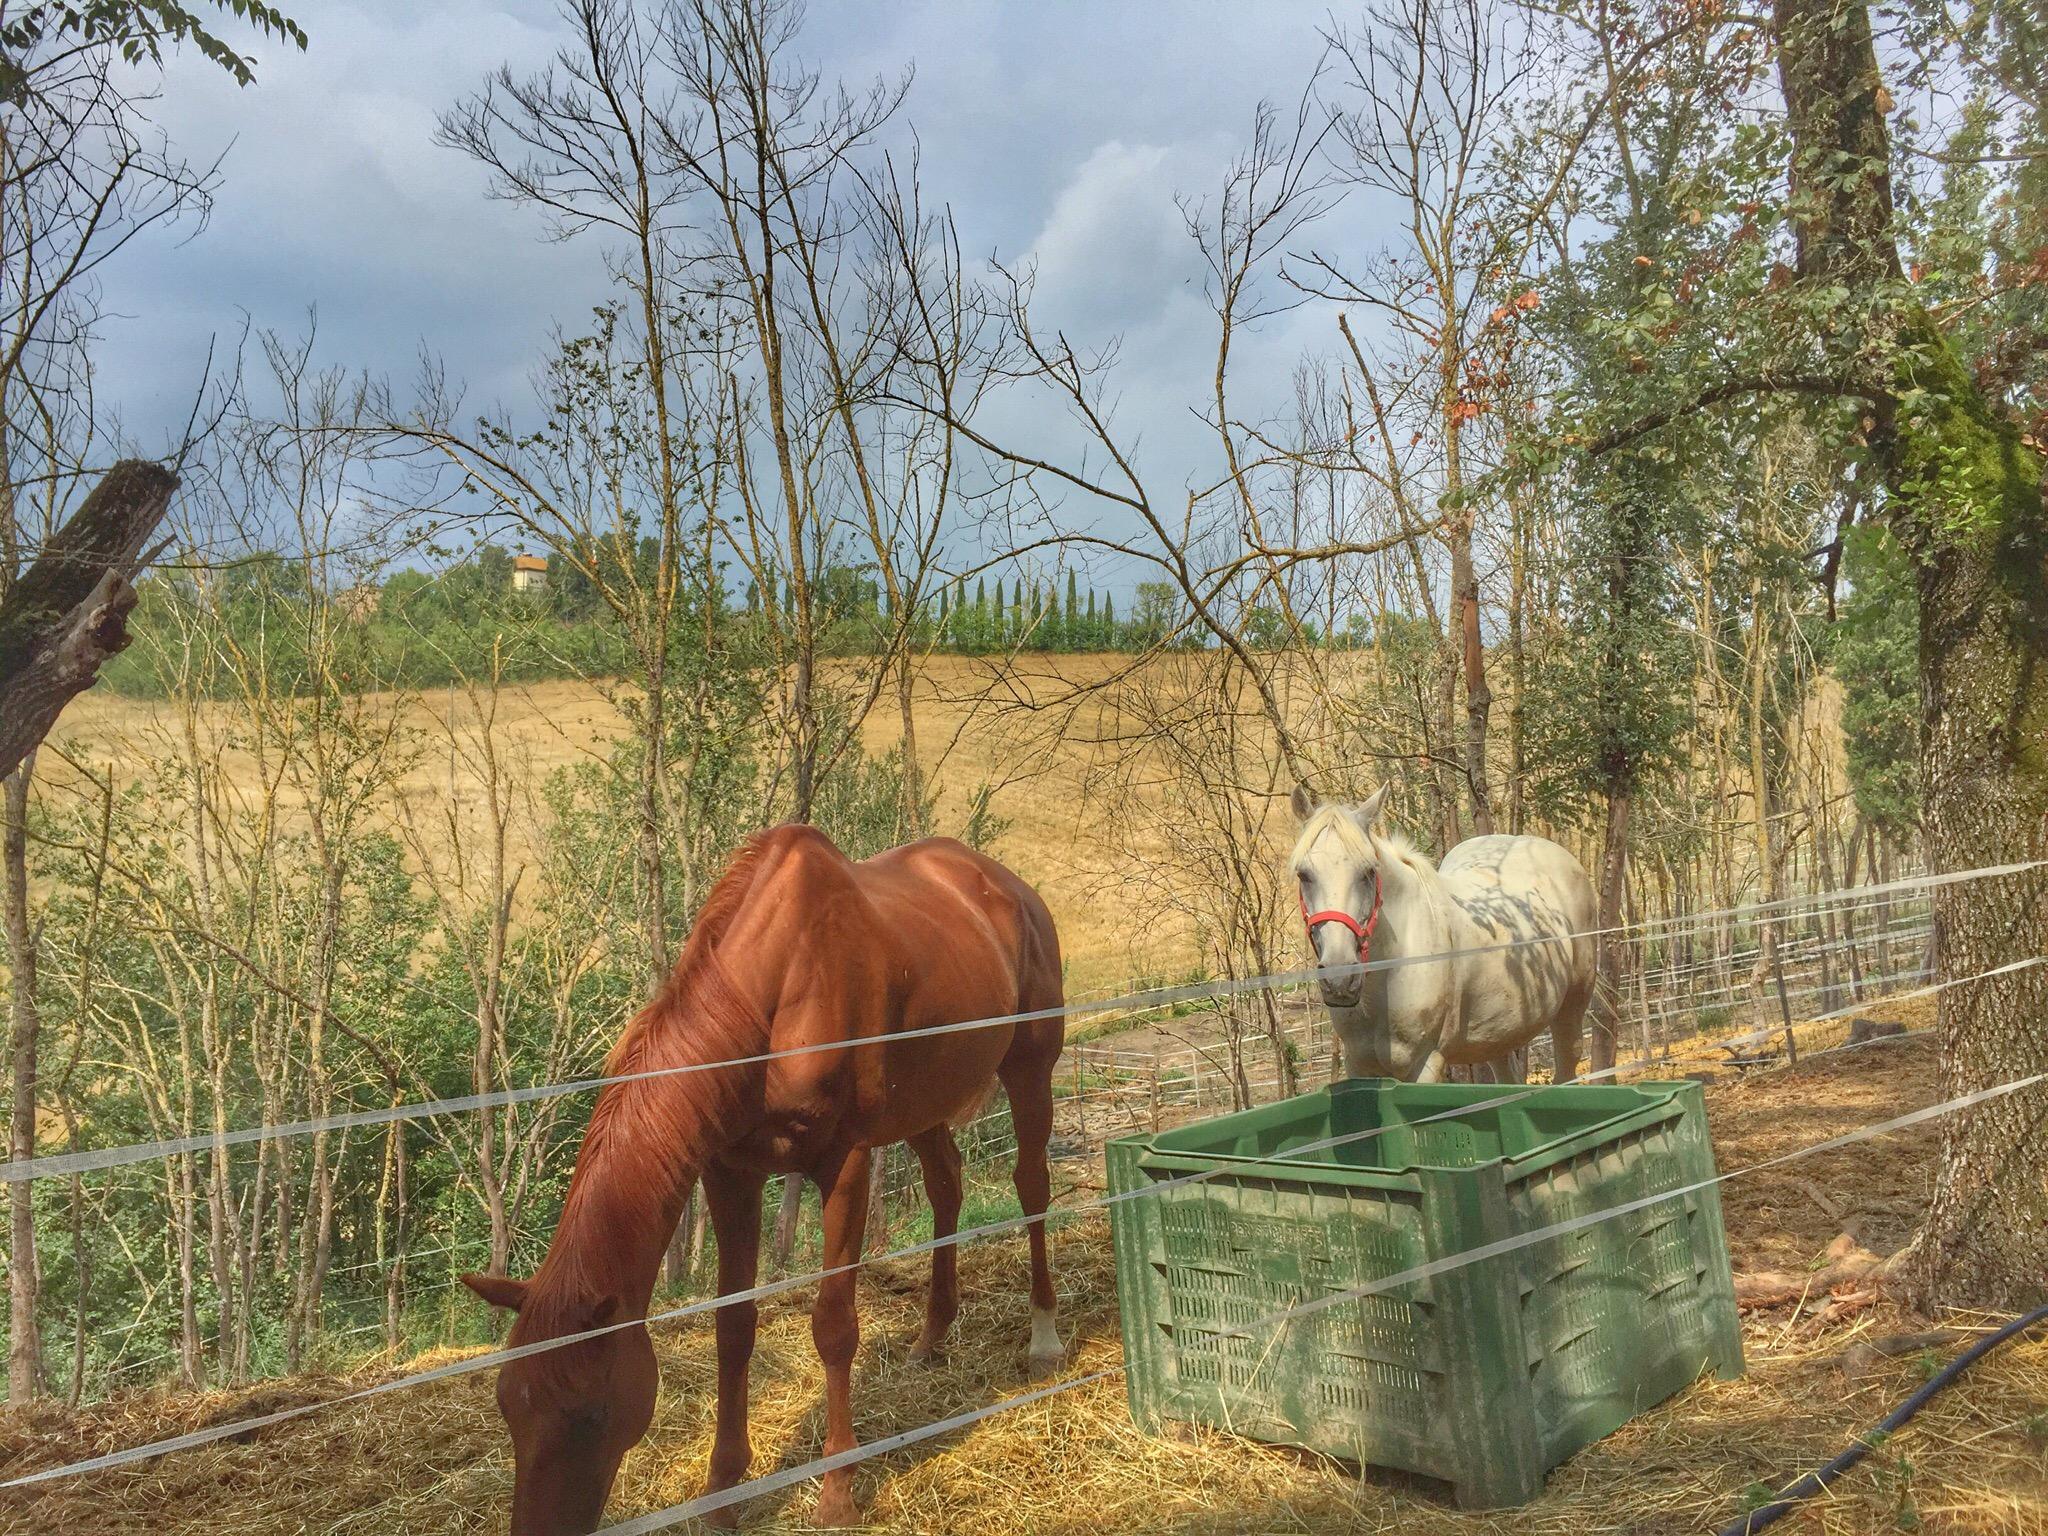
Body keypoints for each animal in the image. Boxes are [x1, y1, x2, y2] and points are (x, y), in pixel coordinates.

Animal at [462, 831, 1064, 1536]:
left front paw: (837, 1491)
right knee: (947, 1184)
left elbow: (834, 1326)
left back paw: (1045, 1338)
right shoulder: (731, 1173)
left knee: (1032, 1187)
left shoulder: (845, 1165)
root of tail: (1008, 886)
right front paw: (723, 1488)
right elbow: (733, 1326)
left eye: (590, 1415)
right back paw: (932, 1334)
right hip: (924, 1102)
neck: (774, 990)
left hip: (1030, 1067)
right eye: (509, 1407)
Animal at [1277, 782, 1597, 1097]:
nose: (1340, 979)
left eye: (1368, 872)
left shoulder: (1425, 1064)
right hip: (1499, 1035)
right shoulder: (1358, 1067)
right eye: (1304, 875)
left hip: (1572, 1008)